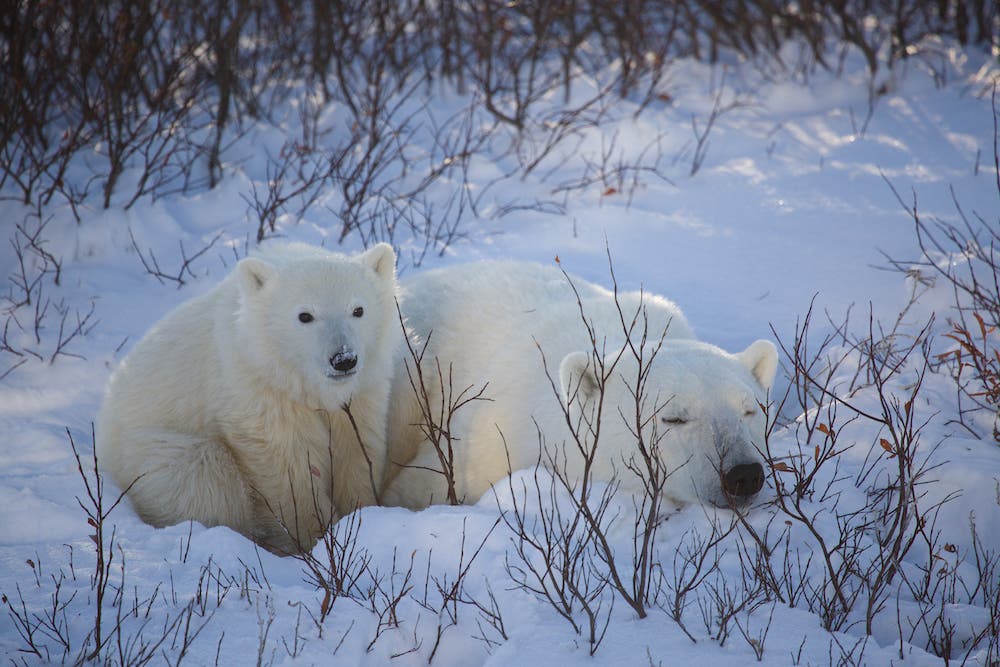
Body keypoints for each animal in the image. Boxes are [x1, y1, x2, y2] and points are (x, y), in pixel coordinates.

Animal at [96, 241, 398, 554]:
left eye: (358, 309)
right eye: (305, 315)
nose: (344, 359)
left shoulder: (363, 391)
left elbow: (356, 449)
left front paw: (361, 515)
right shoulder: (260, 390)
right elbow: (288, 467)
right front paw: (314, 537)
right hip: (153, 449)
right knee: (206, 479)